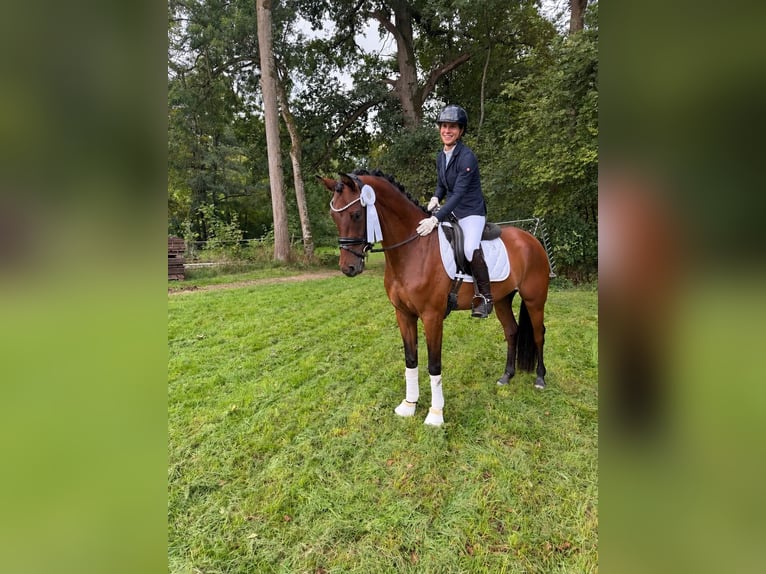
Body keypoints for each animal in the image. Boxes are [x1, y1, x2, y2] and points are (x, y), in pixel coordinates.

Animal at [319, 169, 551, 426]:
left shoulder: (432, 317)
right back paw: (506, 376)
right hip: (501, 300)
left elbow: (433, 364)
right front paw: (409, 405)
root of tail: (531, 239)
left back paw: (540, 379)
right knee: (511, 331)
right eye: (333, 216)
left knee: (539, 334)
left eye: (357, 214)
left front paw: (435, 414)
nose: (348, 268)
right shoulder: (403, 314)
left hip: (534, 299)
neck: (413, 249)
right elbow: (411, 359)